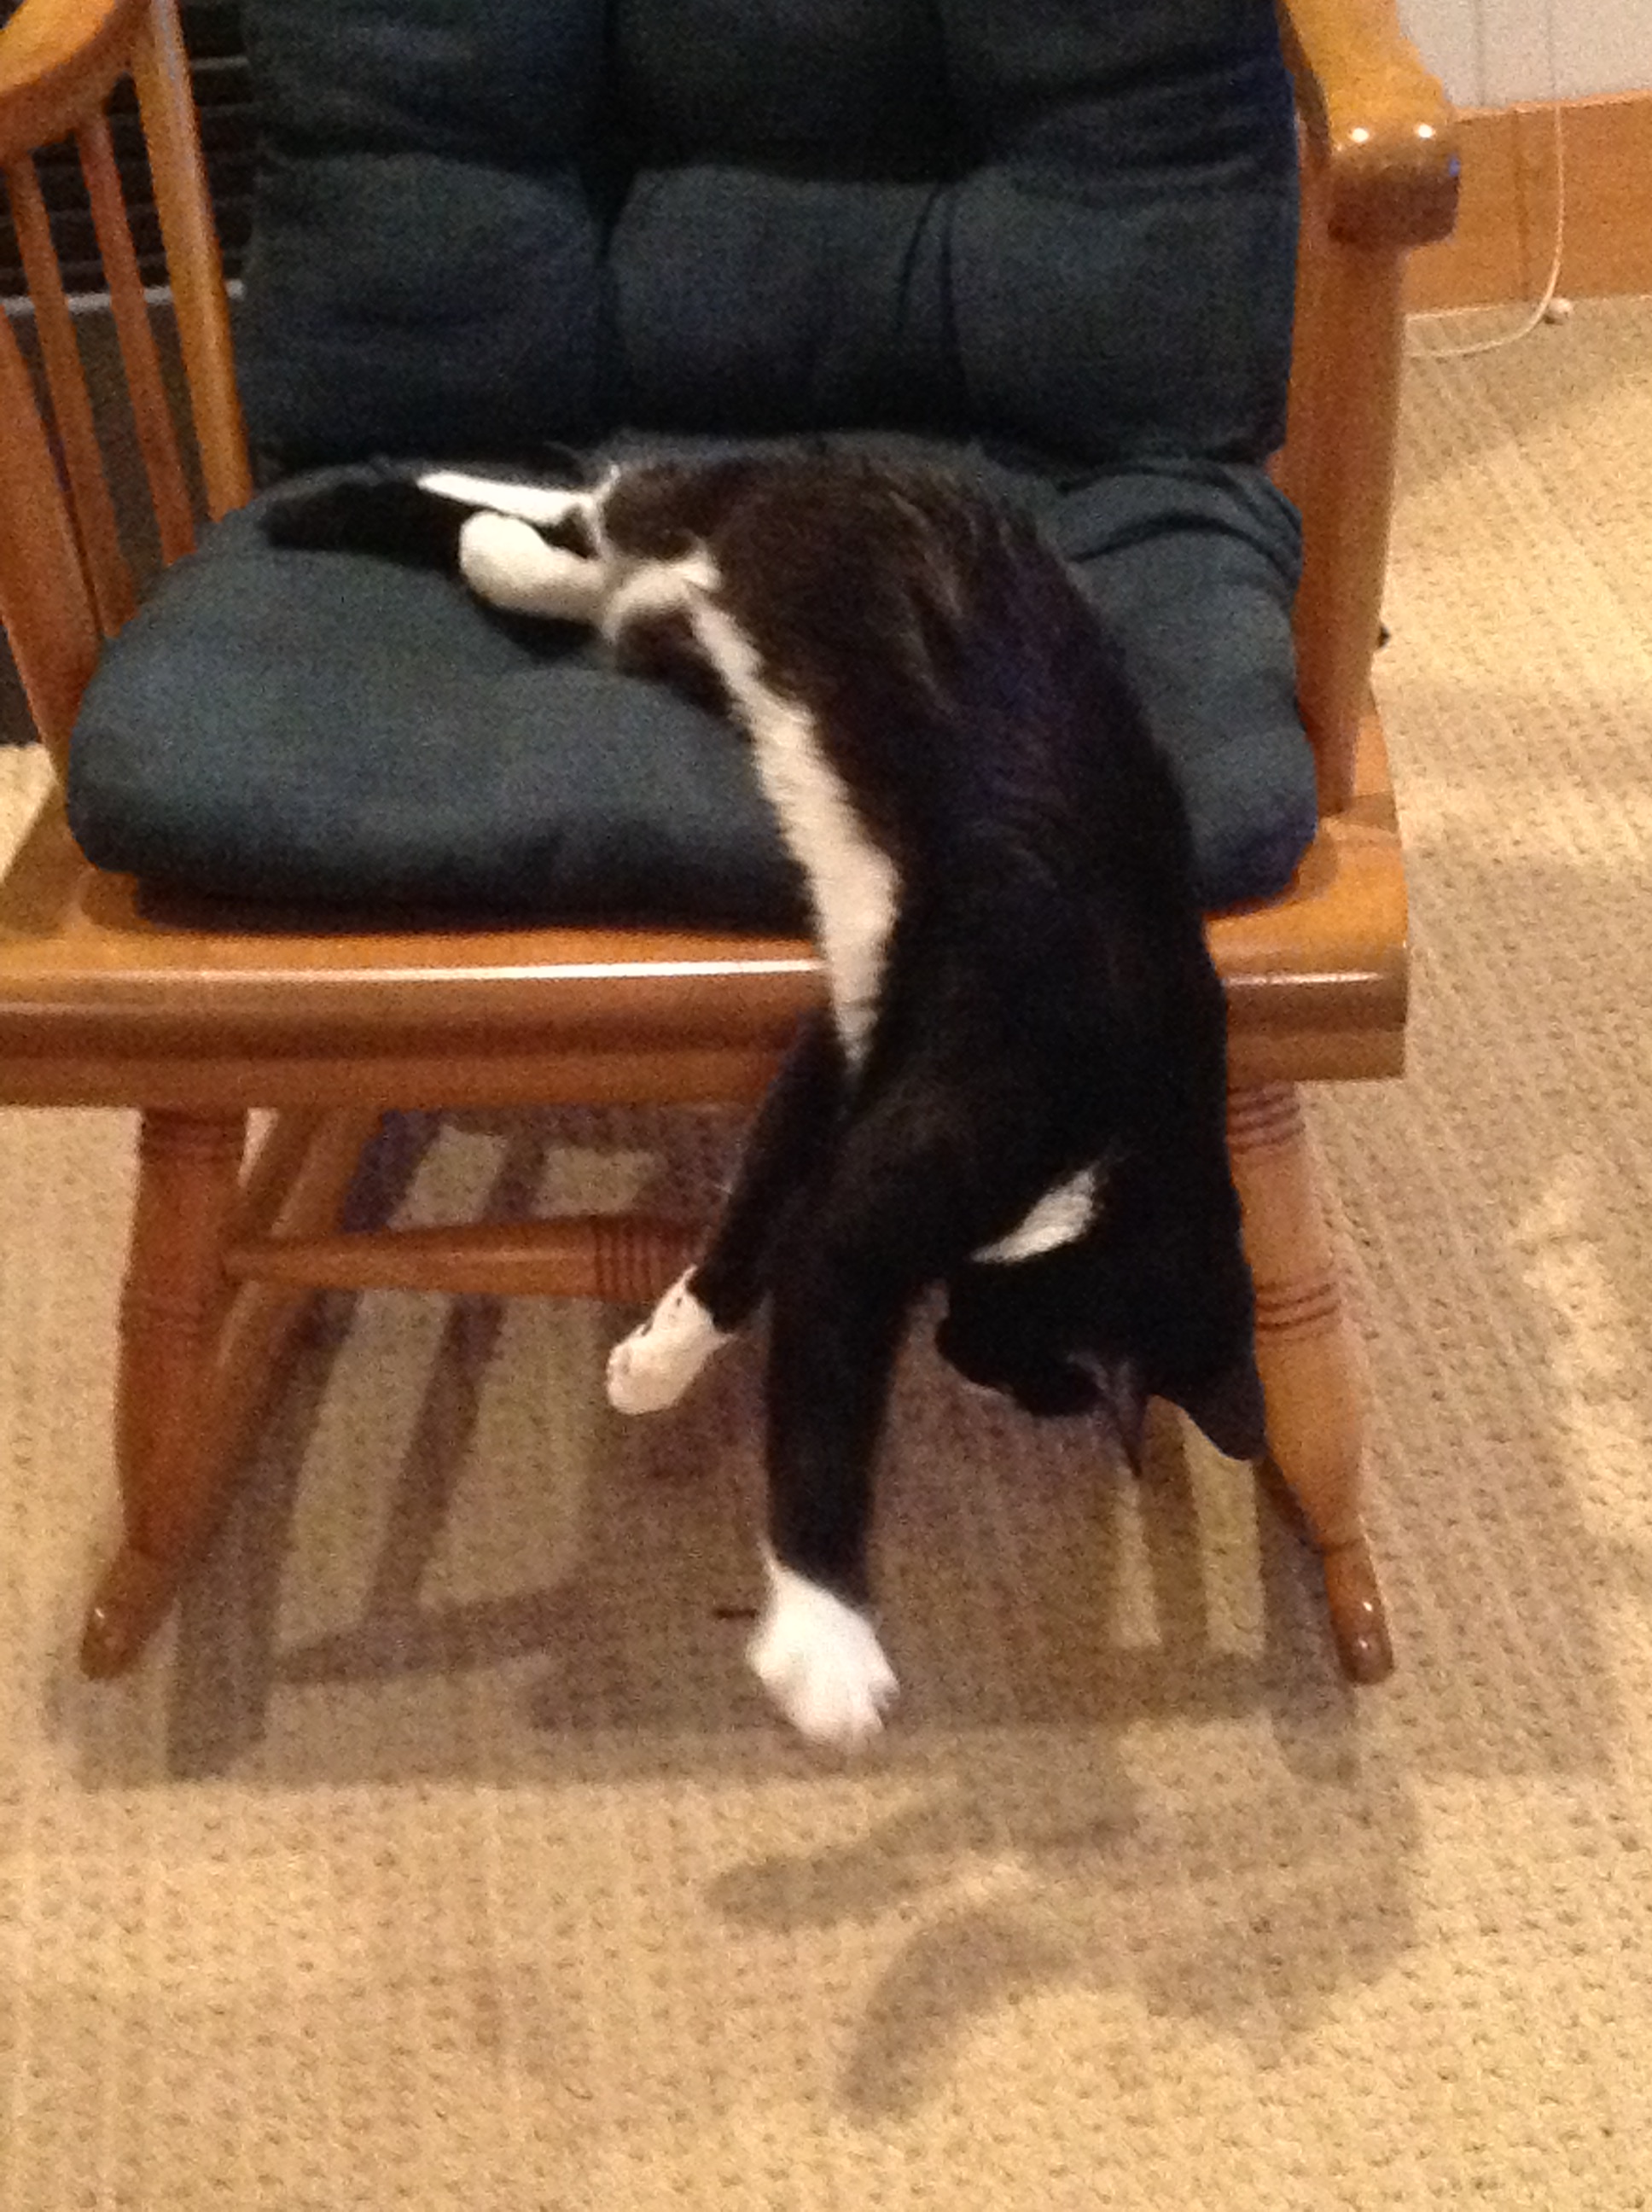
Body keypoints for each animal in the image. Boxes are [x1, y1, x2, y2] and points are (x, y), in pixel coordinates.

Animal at [264, 452, 1268, 1750]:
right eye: (1021, 1370)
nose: (951, 1349)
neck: (1118, 1139)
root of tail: (853, 460)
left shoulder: (848, 1040)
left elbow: (760, 1209)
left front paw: (661, 1353)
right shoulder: (947, 1128)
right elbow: (818, 1375)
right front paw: (822, 1632)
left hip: (668, 625)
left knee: (594, 583)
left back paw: (502, 553)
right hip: (698, 502)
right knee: (587, 501)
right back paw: (390, 510)